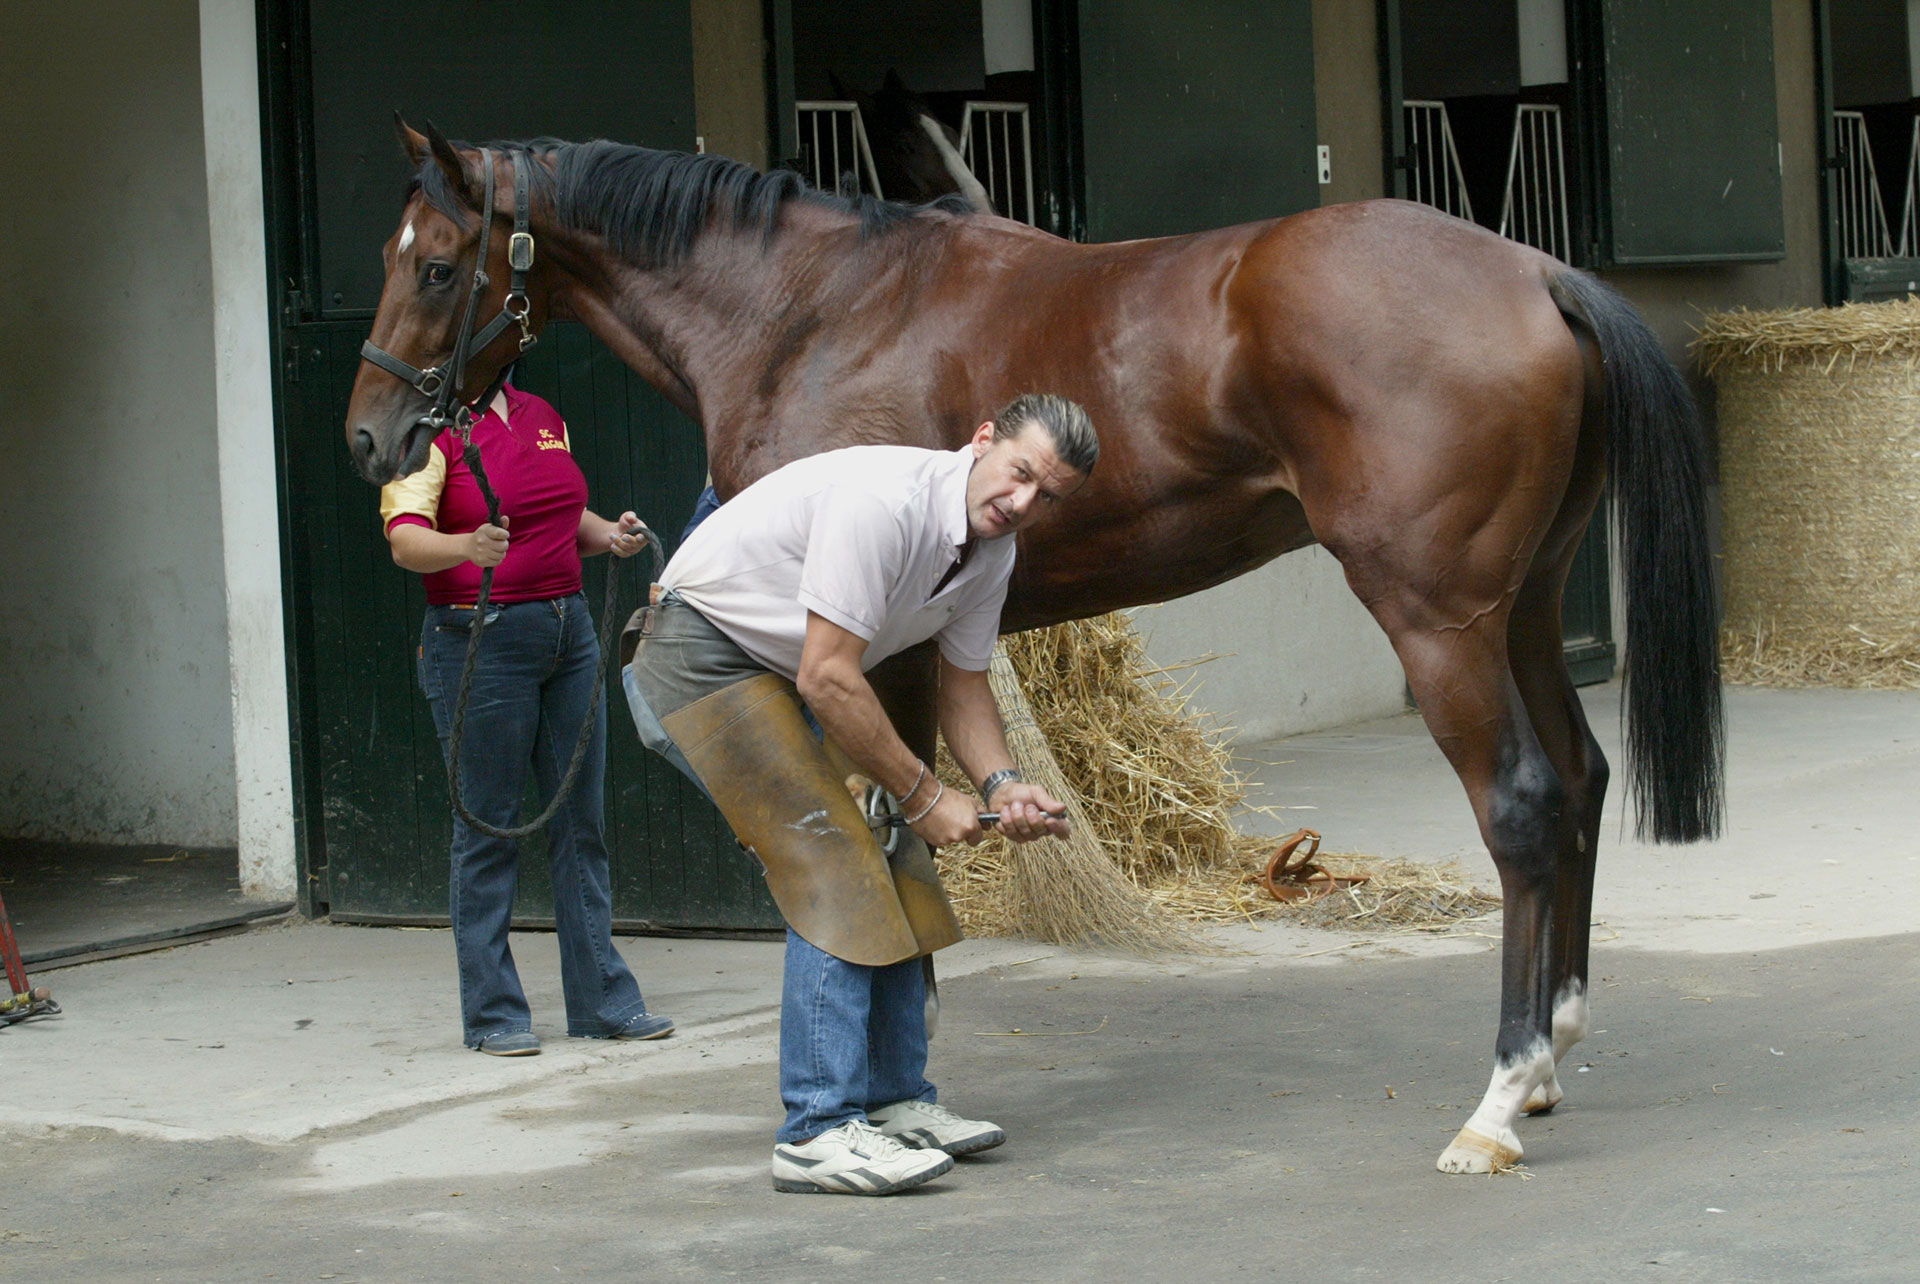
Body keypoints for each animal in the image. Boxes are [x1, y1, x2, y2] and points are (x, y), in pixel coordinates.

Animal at [345, 122, 1728, 1174]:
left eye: (436, 268)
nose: (372, 440)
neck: (807, 311)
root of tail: (1535, 273)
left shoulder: (865, 644)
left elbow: (875, 832)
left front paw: (882, 1092)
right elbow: (898, 832)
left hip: (1441, 621)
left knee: (1525, 806)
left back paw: (1494, 1104)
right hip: (1528, 606)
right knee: (1583, 783)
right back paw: (1549, 1061)